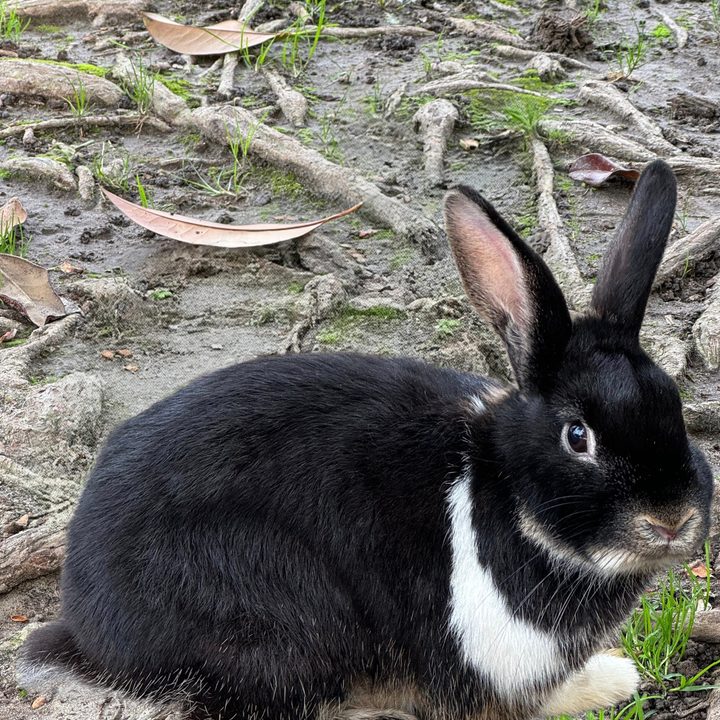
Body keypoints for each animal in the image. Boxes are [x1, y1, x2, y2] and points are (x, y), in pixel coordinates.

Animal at [21, 158, 713, 720]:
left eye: (674, 404)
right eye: (577, 437)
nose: (672, 520)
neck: (506, 493)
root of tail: (88, 629)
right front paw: (613, 680)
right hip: (273, 601)